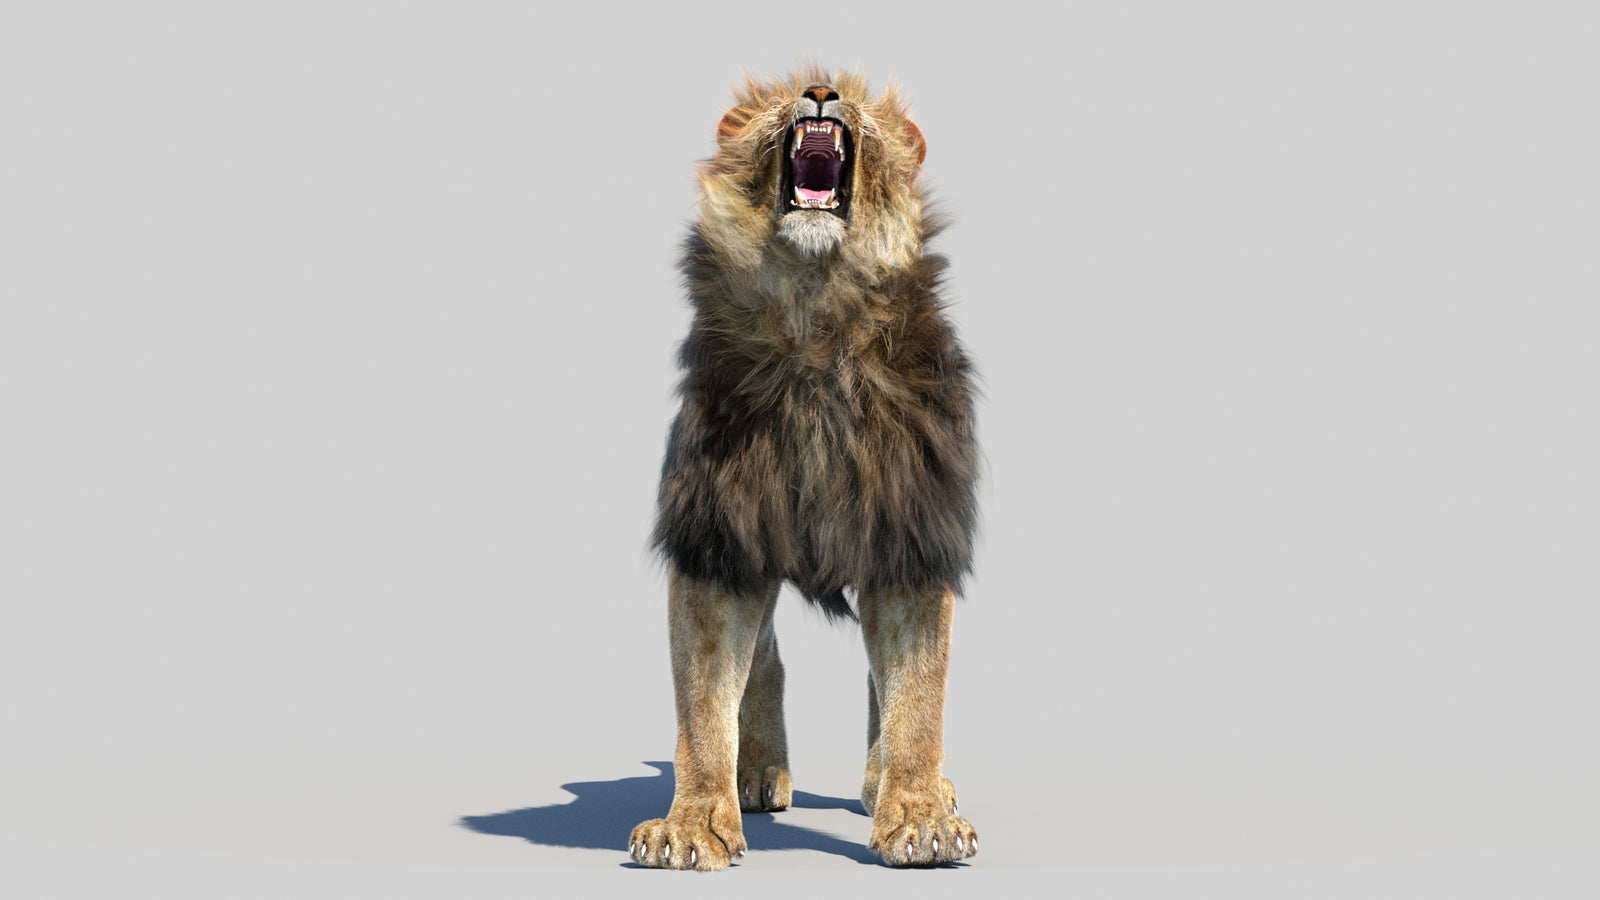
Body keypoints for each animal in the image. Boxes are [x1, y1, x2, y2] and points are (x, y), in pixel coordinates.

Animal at [628, 69, 980, 870]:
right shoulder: (718, 536)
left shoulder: (910, 535)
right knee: (764, 658)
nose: (820, 92)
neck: (817, 307)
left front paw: (919, 816)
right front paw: (693, 824)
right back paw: (756, 772)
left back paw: (893, 785)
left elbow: (917, 693)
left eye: (857, 97)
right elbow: (704, 702)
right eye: (780, 93)